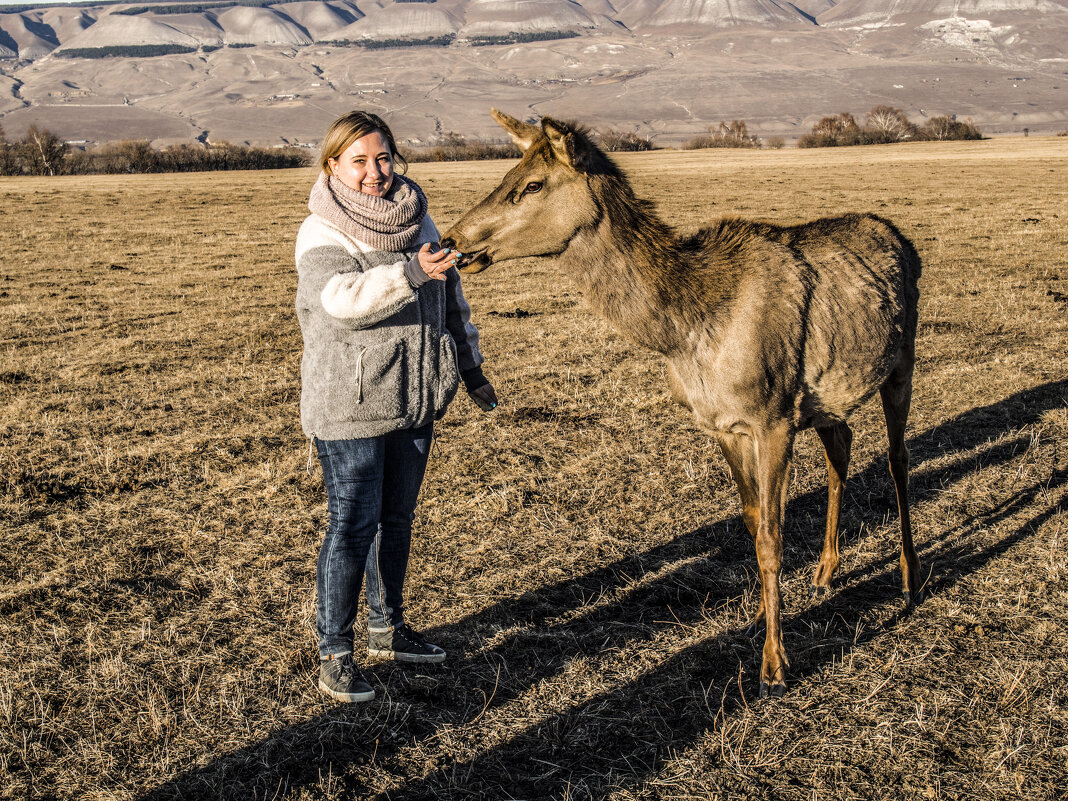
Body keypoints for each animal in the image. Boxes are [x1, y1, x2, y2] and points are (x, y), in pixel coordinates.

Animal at [444, 110, 927, 700]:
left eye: (532, 184)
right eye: (509, 172)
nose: (454, 237)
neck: (683, 332)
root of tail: (903, 239)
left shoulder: (772, 417)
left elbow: (772, 536)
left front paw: (774, 665)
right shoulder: (720, 423)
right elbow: (750, 522)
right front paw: (764, 624)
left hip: (901, 360)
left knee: (898, 459)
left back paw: (909, 577)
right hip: (828, 398)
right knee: (843, 450)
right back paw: (827, 571)